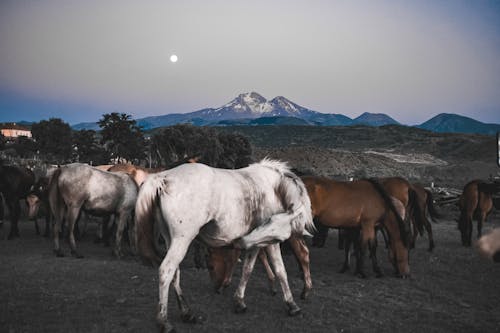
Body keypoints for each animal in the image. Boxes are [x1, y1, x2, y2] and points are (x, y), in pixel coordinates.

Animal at [135, 159, 314, 332]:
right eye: (270, 222)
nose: (243, 241)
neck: (274, 187)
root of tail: (163, 178)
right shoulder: (270, 243)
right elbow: (280, 271)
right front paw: (292, 305)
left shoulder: (258, 243)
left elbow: (247, 270)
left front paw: (239, 301)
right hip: (182, 240)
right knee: (166, 271)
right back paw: (164, 321)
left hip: (171, 240)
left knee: (175, 273)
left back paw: (186, 313)